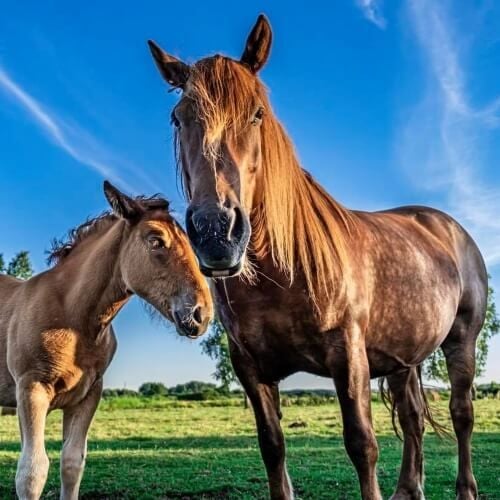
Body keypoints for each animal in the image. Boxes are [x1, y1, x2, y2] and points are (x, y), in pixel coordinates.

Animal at [0, 183, 212, 500]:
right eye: (156, 241)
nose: (202, 314)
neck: (73, 318)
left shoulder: (88, 395)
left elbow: (72, 463)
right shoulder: (31, 388)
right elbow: (32, 472)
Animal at [149, 15, 488, 500]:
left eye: (257, 114)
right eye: (178, 118)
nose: (216, 232)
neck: (280, 275)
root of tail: (448, 227)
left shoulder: (348, 357)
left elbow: (362, 444)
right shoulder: (250, 368)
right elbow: (272, 447)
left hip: (461, 341)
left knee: (462, 415)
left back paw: (465, 487)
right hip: (405, 357)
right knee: (412, 419)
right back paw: (409, 489)